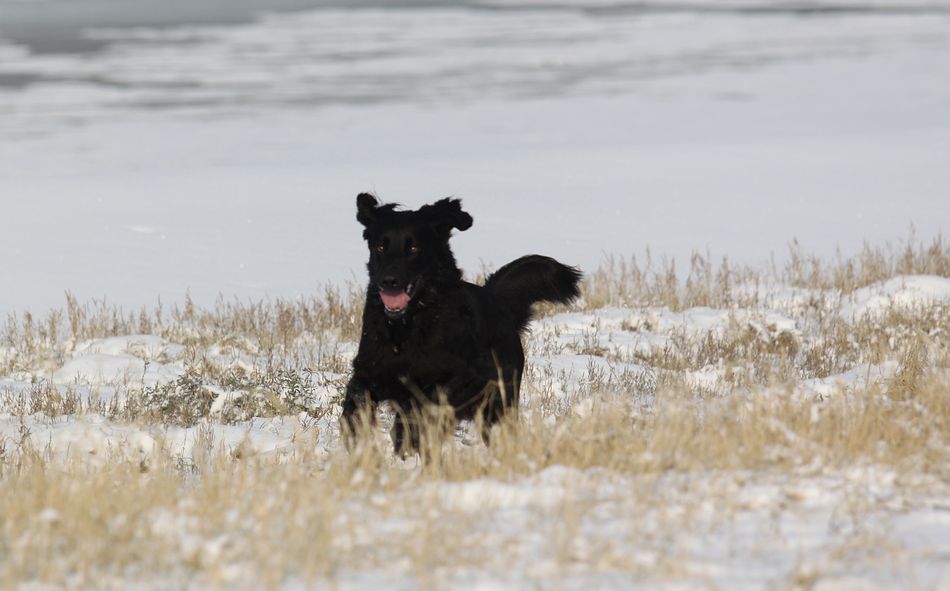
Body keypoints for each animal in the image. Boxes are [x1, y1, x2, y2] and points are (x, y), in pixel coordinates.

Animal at [341, 193, 582, 455]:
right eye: (380, 247)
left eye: (413, 248)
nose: (388, 281)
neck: (408, 326)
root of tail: (495, 300)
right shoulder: (369, 369)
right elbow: (356, 397)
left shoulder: (465, 378)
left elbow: (428, 400)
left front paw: (407, 437)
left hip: (500, 403)